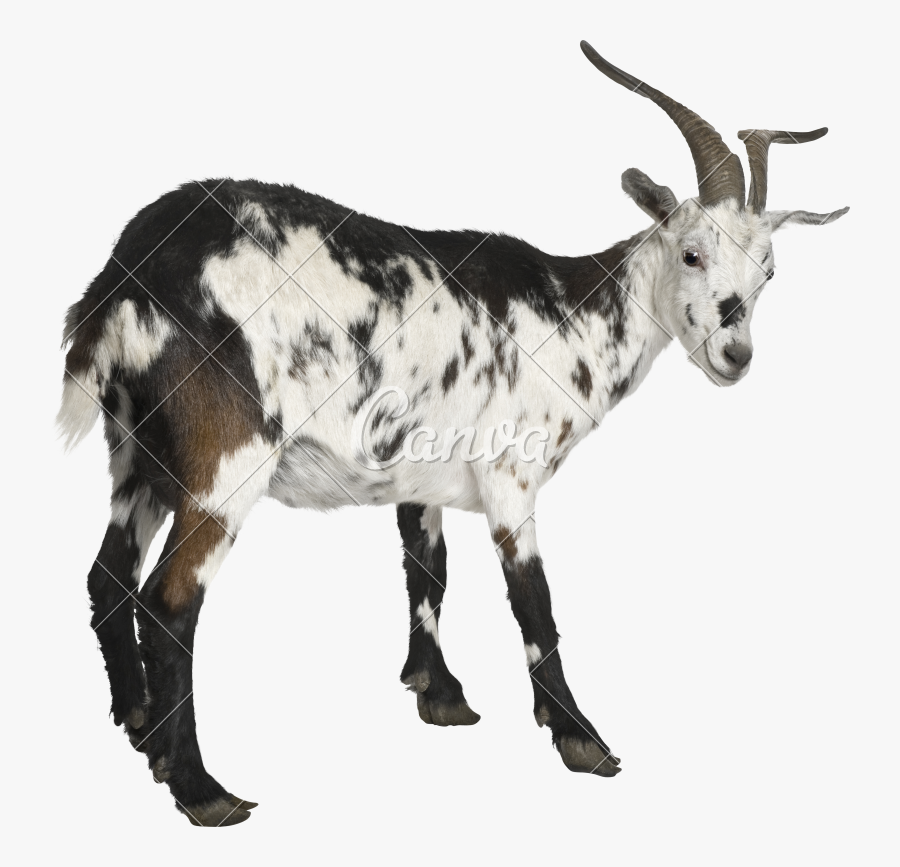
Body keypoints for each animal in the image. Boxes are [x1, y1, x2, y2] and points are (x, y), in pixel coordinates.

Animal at [58, 42, 848, 826]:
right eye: (691, 253)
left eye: (768, 272)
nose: (735, 355)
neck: (571, 313)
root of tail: (125, 278)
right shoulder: (512, 474)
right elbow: (534, 599)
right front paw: (583, 740)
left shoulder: (421, 472)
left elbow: (428, 568)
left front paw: (438, 693)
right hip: (224, 459)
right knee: (169, 602)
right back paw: (203, 789)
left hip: (137, 454)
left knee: (108, 575)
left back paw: (140, 728)